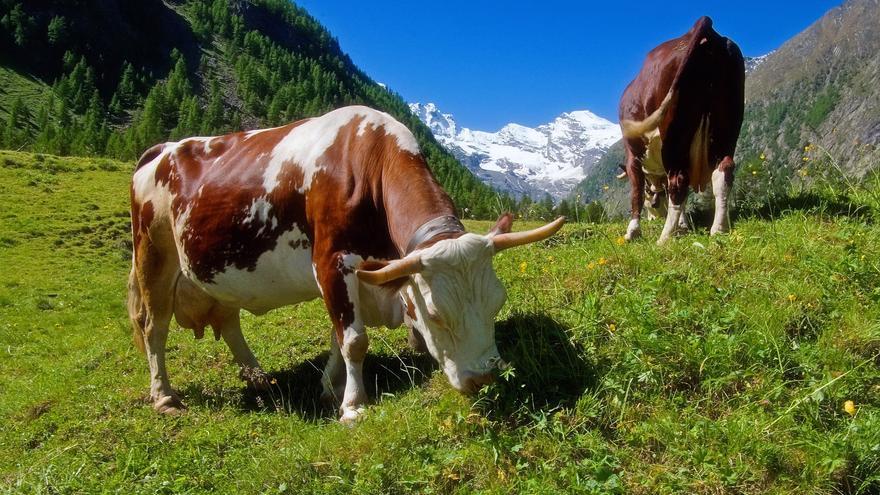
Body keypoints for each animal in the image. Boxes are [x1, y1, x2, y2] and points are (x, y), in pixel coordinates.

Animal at [125, 104, 564, 422]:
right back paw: (164, 397)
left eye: (497, 303)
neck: (368, 162)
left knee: (229, 320)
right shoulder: (332, 262)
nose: (485, 376)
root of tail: (160, 150)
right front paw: (353, 404)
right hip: (154, 255)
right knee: (153, 326)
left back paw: (260, 378)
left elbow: (339, 335)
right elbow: (354, 339)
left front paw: (330, 387)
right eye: (437, 315)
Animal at [620, 16, 744, 245]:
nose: (654, 215)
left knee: (678, 181)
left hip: (674, 135)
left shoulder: (632, 154)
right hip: (727, 126)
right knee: (723, 171)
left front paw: (633, 231)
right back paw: (719, 229)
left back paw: (664, 238)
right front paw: (684, 226)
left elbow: (636, 192)